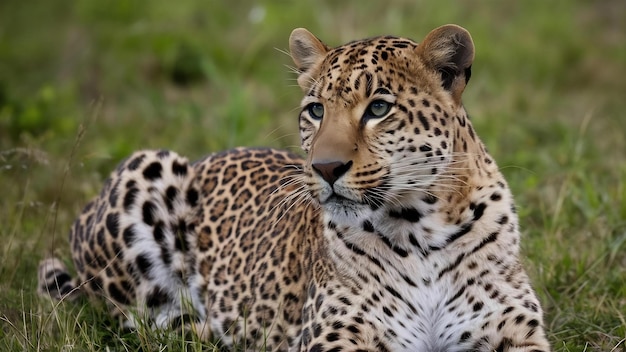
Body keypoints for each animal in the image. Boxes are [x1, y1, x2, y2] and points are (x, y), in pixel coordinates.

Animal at [37, 24, 544, 350]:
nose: (326, 167)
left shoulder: (514, 331)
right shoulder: (335, 335)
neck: (422, 230)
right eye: (316, 110)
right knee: (141, 320)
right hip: (149, 168)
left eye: (379, 108)